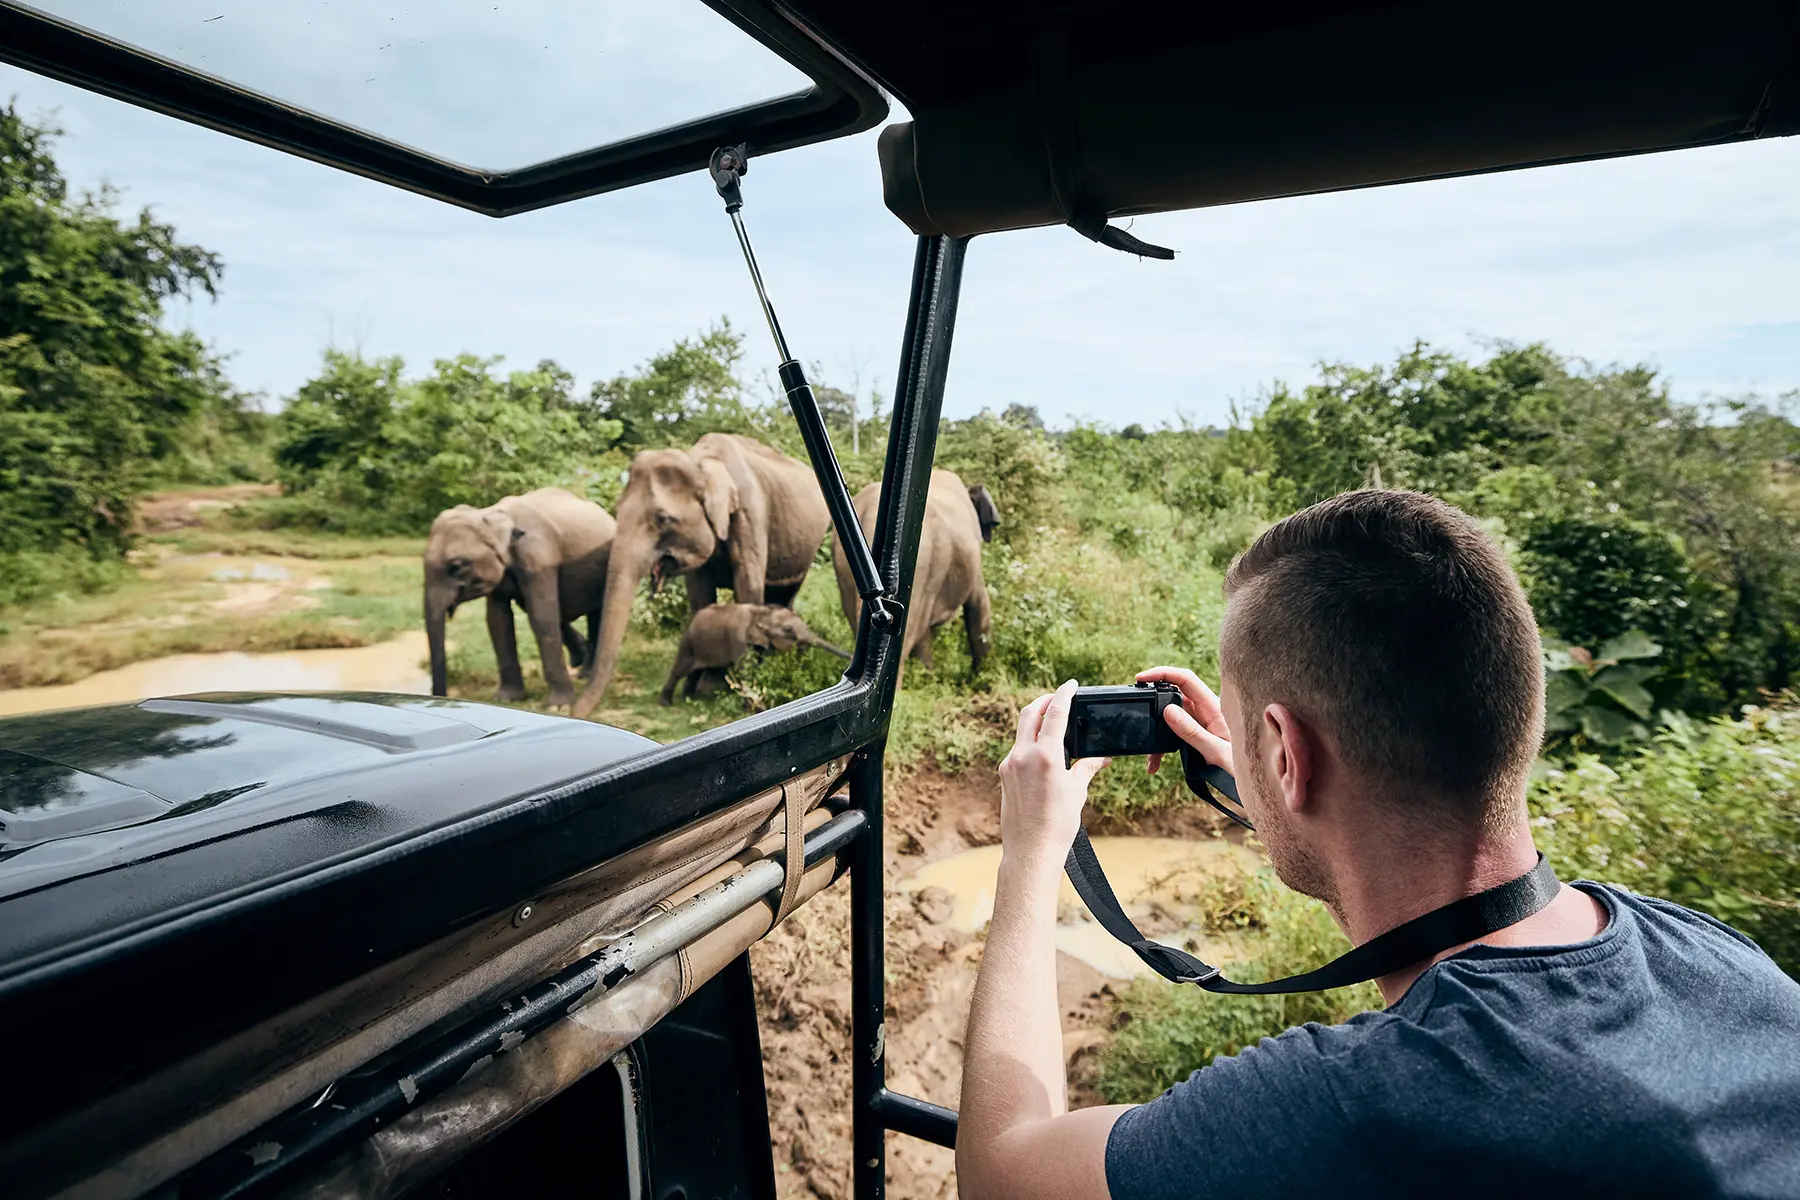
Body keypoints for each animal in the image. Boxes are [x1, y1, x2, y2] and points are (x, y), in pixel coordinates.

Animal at [424, 487, 616, 710]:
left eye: (456, 565)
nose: (440, 697)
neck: (489, 514)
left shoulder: (539, 557)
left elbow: (541, 616)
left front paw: (558, 706)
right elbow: (497, 620)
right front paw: (505, 699)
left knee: (596, 614)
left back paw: (586, 673)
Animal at [660, 603, 849, 705]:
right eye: (788, 629)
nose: (850, 656)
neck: (761, 612)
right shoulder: (737, 638)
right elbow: (744, 669)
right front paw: (756, 708)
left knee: (696, 672)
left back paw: (688, 699)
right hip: (688, 642)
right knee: (680, 670)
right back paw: (666, 703)